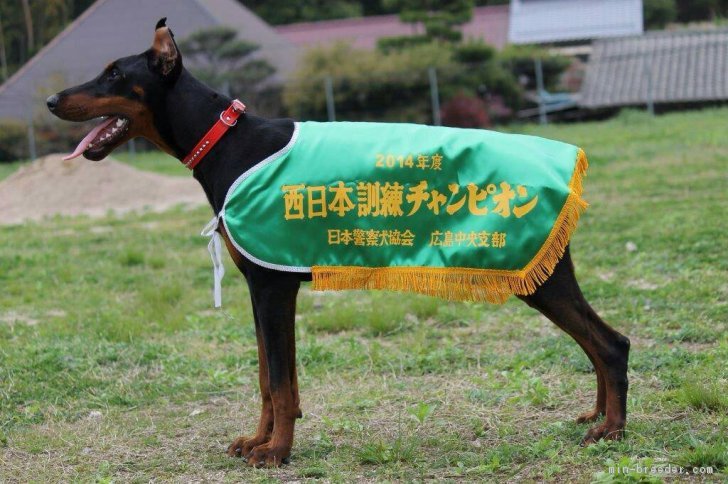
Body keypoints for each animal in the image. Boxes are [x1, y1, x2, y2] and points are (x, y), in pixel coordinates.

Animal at [47, 19, 632, 468]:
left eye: (116, 73)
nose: (52, 99)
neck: (223, 141)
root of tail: (568, 164)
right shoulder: (260, 286)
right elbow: (269, 376)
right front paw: (258, 439)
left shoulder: (272, 286)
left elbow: (281, 382)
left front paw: (277, 451)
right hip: (540, 272)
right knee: (596, 344)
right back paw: (597, 415)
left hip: (536, 274)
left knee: (611, 344)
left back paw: (611, 430)